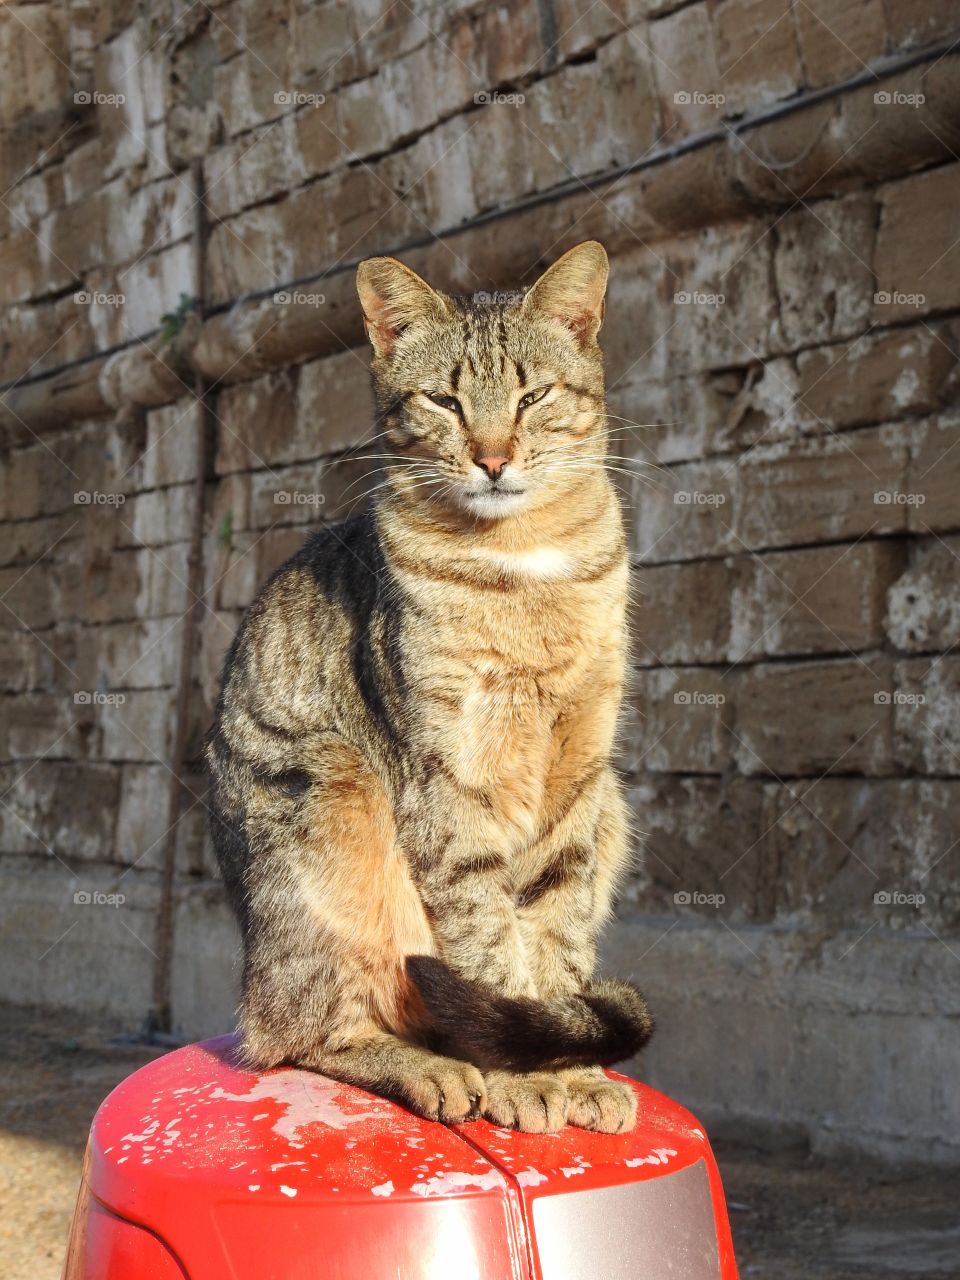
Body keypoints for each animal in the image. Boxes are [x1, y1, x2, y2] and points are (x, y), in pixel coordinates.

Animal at [207, 240, 660, 1131]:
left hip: (612, 807)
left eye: (532, 394)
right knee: (291, 1032)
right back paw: (423, 1064)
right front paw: (530, 1077)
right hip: (332, 793)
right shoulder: (448, 780)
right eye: (444, 401)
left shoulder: (580, 777)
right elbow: (488, 938)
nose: (493, 458)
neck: (524, 562)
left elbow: (554, 940)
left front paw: (571, 1066)